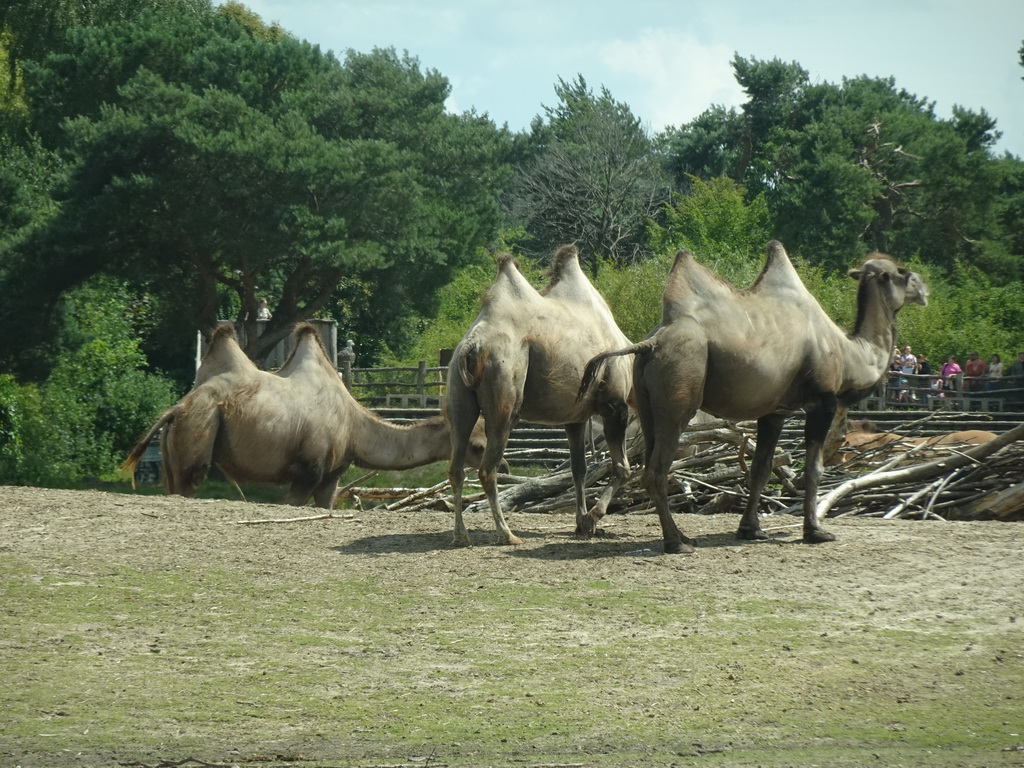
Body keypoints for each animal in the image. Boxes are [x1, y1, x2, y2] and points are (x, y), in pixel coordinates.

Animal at [123, 321, 491, 507]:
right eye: (479, 446)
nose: (498, 466)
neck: (355, 427)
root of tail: (176, 408)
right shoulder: (307, 469)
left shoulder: (331, 476)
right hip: (199, 428)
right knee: (192, 479)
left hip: (175, 446)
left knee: (173, 483)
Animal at [446, 246, 630, 548]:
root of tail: (472, 345)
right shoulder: (614, 405)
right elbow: (621, 468)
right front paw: (592, 518)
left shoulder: (575, 417)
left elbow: (579, 470)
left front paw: (581, 523)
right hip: (504, 396)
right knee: (488, 469)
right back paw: (507, 534)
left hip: (459, 400)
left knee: (455, 467)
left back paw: (461, 535)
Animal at [581, 240, 933, 552]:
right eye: (903, 273)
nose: (924, 288)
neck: (851, 354)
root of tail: (652, 342)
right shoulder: (823, 401)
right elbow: (814, 469)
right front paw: (816, 531)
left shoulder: (775, 411)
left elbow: (761, 468)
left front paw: (751, 530)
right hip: (680, 387)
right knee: (657, 470)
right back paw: (676, 543)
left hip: (646, 401)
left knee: (649, 462)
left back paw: (680, 536)